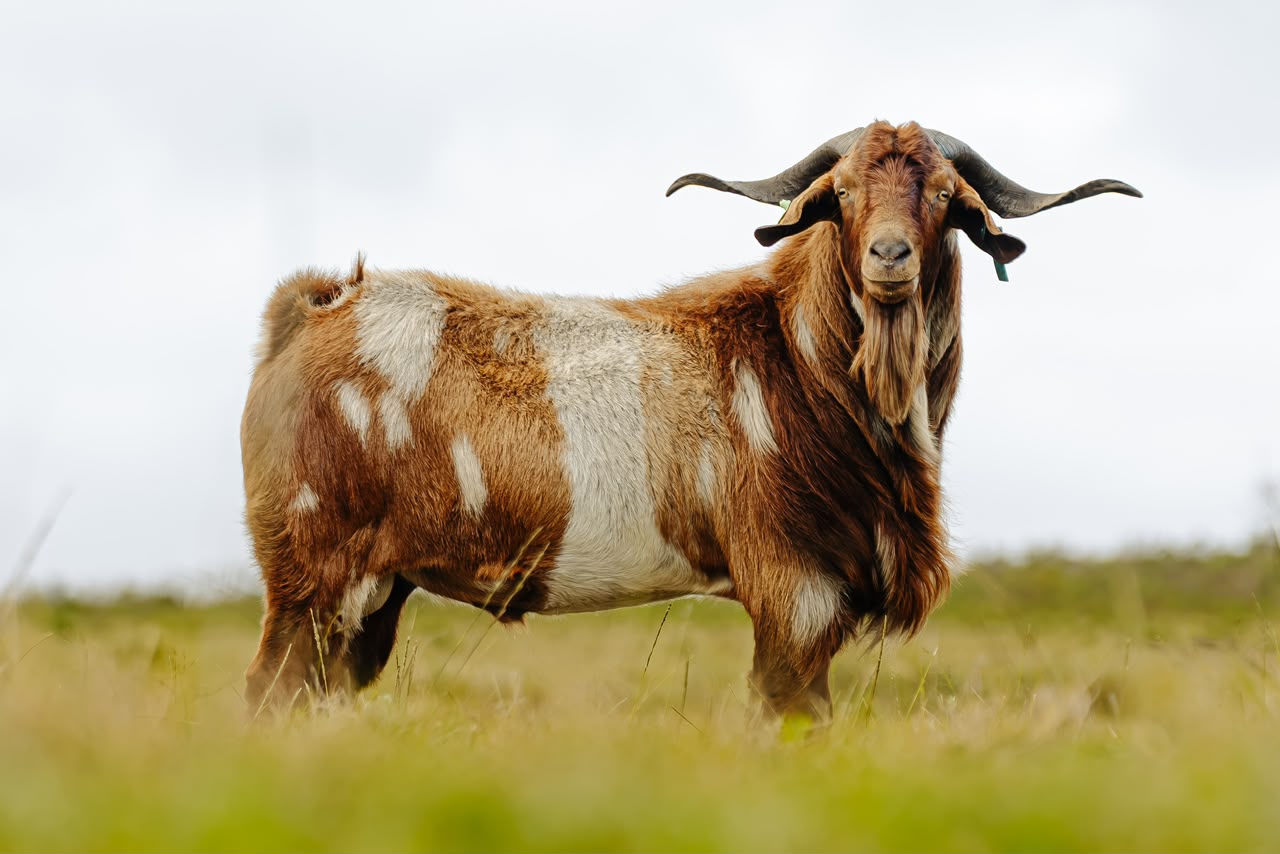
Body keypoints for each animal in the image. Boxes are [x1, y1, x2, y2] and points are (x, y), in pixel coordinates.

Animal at [241, 121, 1139, 719]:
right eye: (842, 194)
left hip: (373, 592)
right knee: (271, 693)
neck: (802, 365)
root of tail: (315, 309)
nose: (890, 258)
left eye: (947, 196)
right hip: (316, 573)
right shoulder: (794, 586)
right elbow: (790, 712)